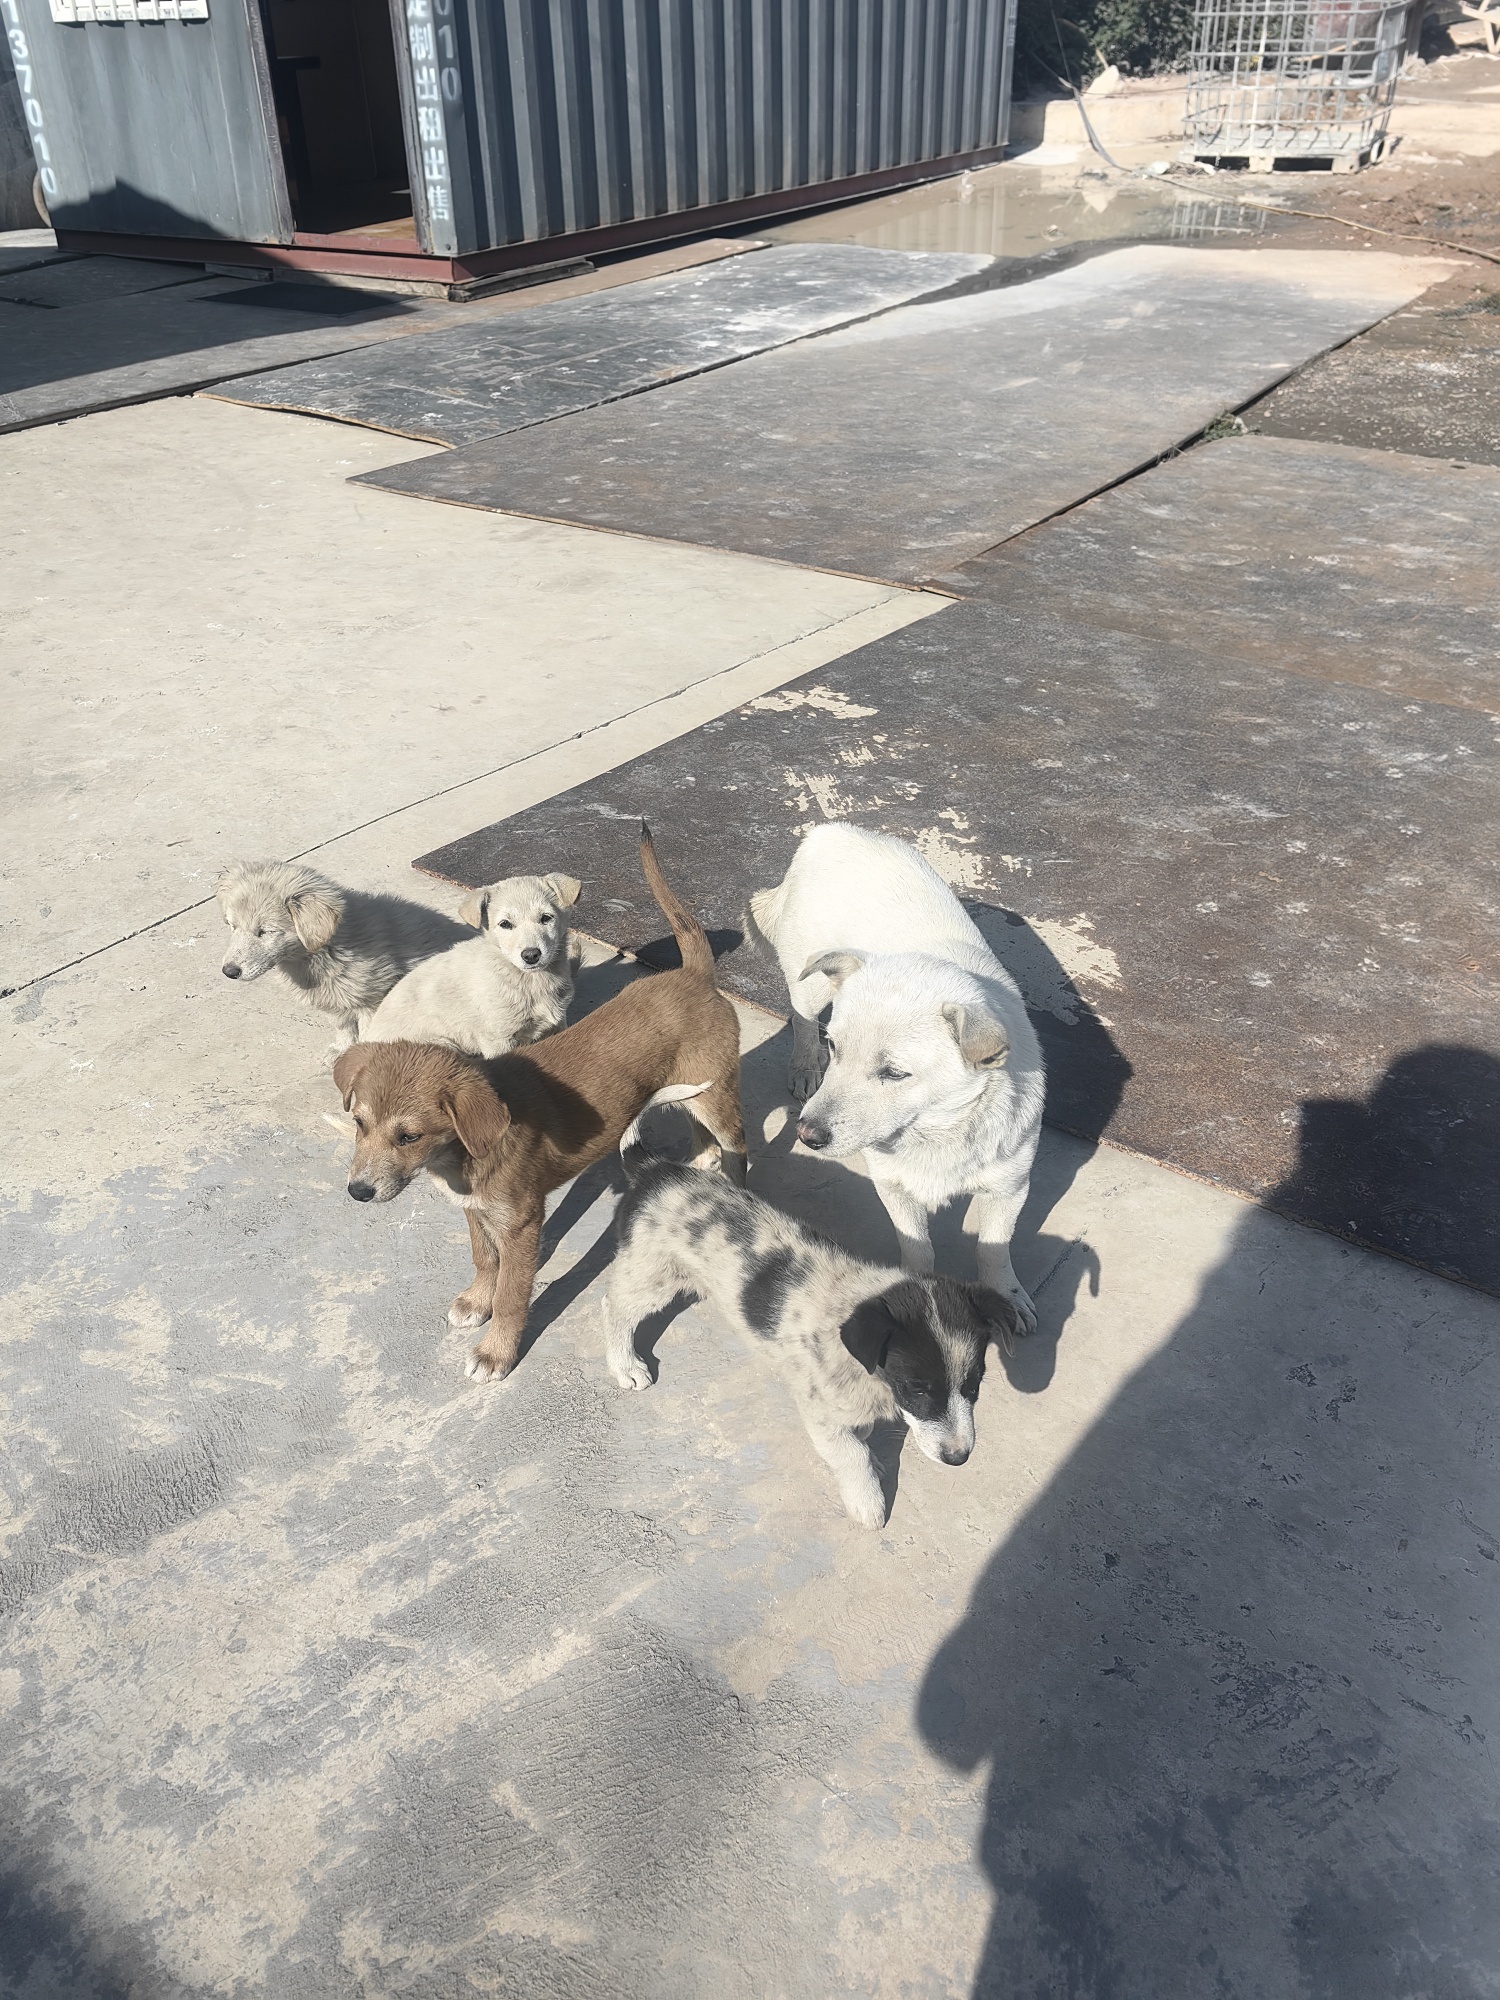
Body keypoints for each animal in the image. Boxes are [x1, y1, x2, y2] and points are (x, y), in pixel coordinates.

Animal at [216, 860, 466, 1048]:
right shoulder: (335, 999)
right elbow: (343, 1027)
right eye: (232, 926)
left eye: (264, 932)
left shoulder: (372, 1001)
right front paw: (341, 1050)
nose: (230, 971)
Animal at [363, 872, 582, 1058]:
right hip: (441, 1044)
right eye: (505, 924)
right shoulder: (498, 1039)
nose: (531, 955)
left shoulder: (557, 1024)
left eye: (546, 918)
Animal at [605, 1111, 1023, 1527]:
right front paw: (867, 1500)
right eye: (916, 1389)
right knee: (614, 1305)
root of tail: (653, 1169)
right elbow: (851, 1453)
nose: (959, 1458)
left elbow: (861, 1435)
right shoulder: (819, 1413)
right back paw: (626, 1366)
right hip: (654, 1275)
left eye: (974, 1384)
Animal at [747, 823, 1045, 1332]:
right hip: (809, 983)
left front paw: (1006, 1297)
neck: (937, 1132)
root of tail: (829, 831)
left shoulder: (1010, 1187)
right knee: (802, 1017)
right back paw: (804, 1066)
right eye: (835, 1048)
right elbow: (917, 1247)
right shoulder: (892, 1186)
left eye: (894, 1073)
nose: (807, 1135)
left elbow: (995, 1250)